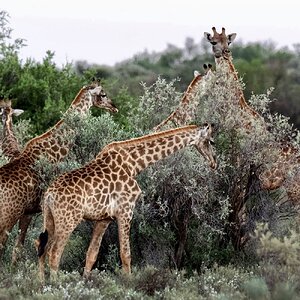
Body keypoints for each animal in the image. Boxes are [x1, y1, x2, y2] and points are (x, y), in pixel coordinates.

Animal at [0, 79, 117, 260]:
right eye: (103, 94)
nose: (114, 107)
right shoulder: (36, 209)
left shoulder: (31, 211)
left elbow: (19, 248)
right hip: (8, 215)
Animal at [36, 123, 217, 280]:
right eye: (211, 141)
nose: (214, 163)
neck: (134, 164)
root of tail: (49, 195)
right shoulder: (125, 211)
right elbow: (126, 254)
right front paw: (129, 284)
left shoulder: (104, 218)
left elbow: (92, 254)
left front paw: (85, 283)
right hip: (68, 220)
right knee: (54, 252)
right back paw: (55, 284)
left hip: (49, 218)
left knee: (41, 246)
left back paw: (42, 284)